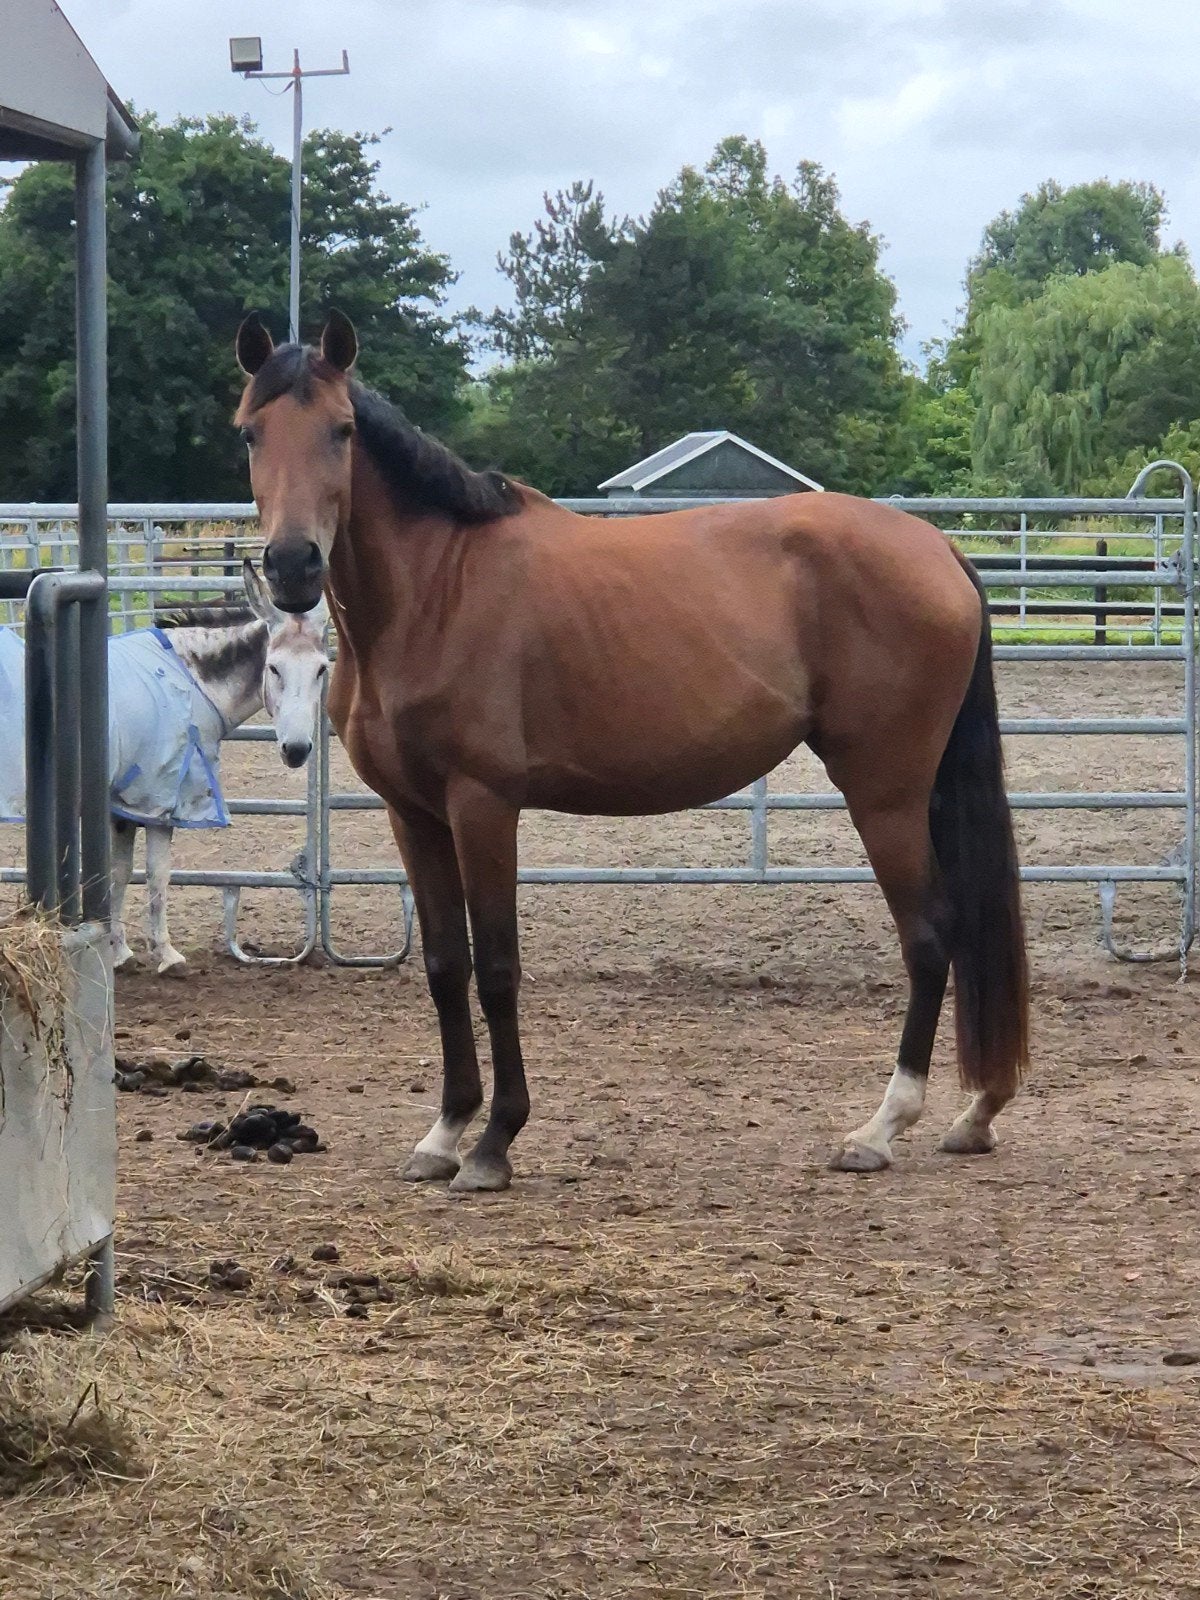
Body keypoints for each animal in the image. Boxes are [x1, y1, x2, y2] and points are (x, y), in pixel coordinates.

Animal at [0, 560, 329, 974]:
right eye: (274, 668)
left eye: (322, 669)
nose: (297, 750)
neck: (186, 679)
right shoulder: (157, 801)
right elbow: (156, 876)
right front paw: (165, 955)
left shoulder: (122, 806)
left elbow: (120, 872)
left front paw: (118, 950)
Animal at [233, 310, 1029, 1192]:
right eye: (250, 432)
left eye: (341, 430)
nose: (293, 565)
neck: (434, 592)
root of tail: (938, 548)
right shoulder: (414, 815)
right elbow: (444, 967)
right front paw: (443, 1134)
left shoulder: (483, 806)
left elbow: (498, 967)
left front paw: (494, 1142)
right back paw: (976, 1113)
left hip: (884, 792)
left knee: (929, 936)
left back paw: (882, 1127)